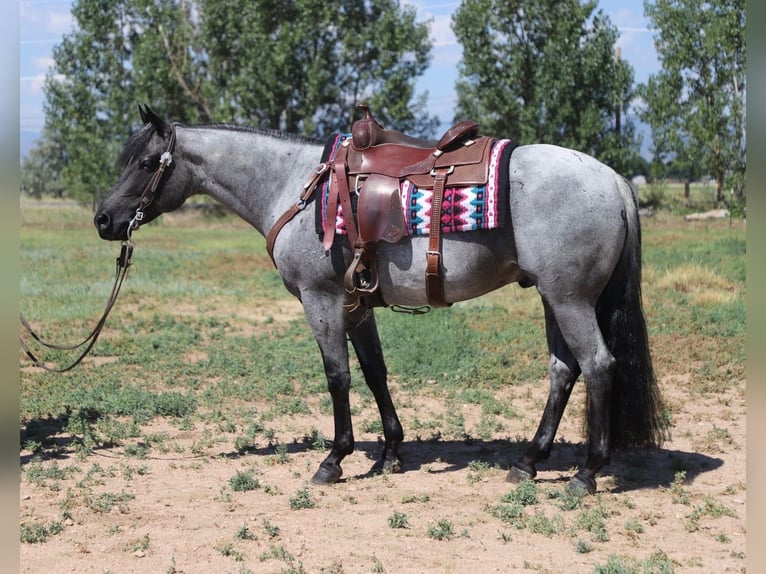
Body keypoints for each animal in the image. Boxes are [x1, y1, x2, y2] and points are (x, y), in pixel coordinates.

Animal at [94, 105, 664, 494]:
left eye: (147, 162)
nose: (103, 220)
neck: (296, 188)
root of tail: (612, 179)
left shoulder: (321, 300)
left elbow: (338, 376)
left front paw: (334, 459)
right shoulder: (357, 304)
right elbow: (374, 371)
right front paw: (389, 451)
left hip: (570, 300)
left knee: (598, 366)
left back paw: (586, 473)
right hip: (553, 299)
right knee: (563, 371)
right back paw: (530, 460)